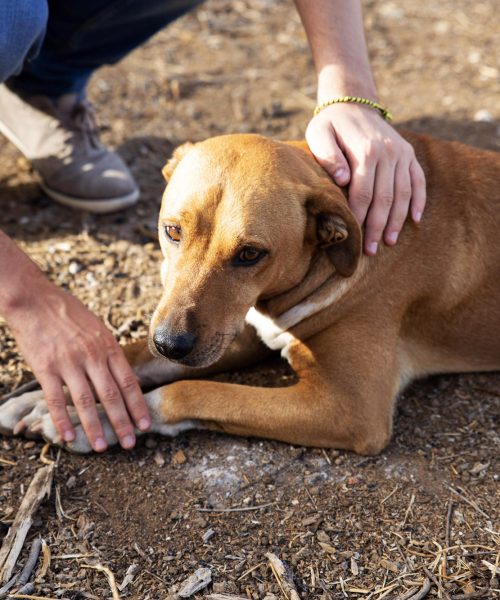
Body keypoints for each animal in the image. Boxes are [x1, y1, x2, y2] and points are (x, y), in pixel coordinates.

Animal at [0, 130, 500, 450]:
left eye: (250, 254)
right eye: (172, 230)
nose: (170, 344)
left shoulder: (349, 409)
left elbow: (189, 392)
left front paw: (99, 418)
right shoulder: (236, 332)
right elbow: (132, 356)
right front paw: (53, 399)